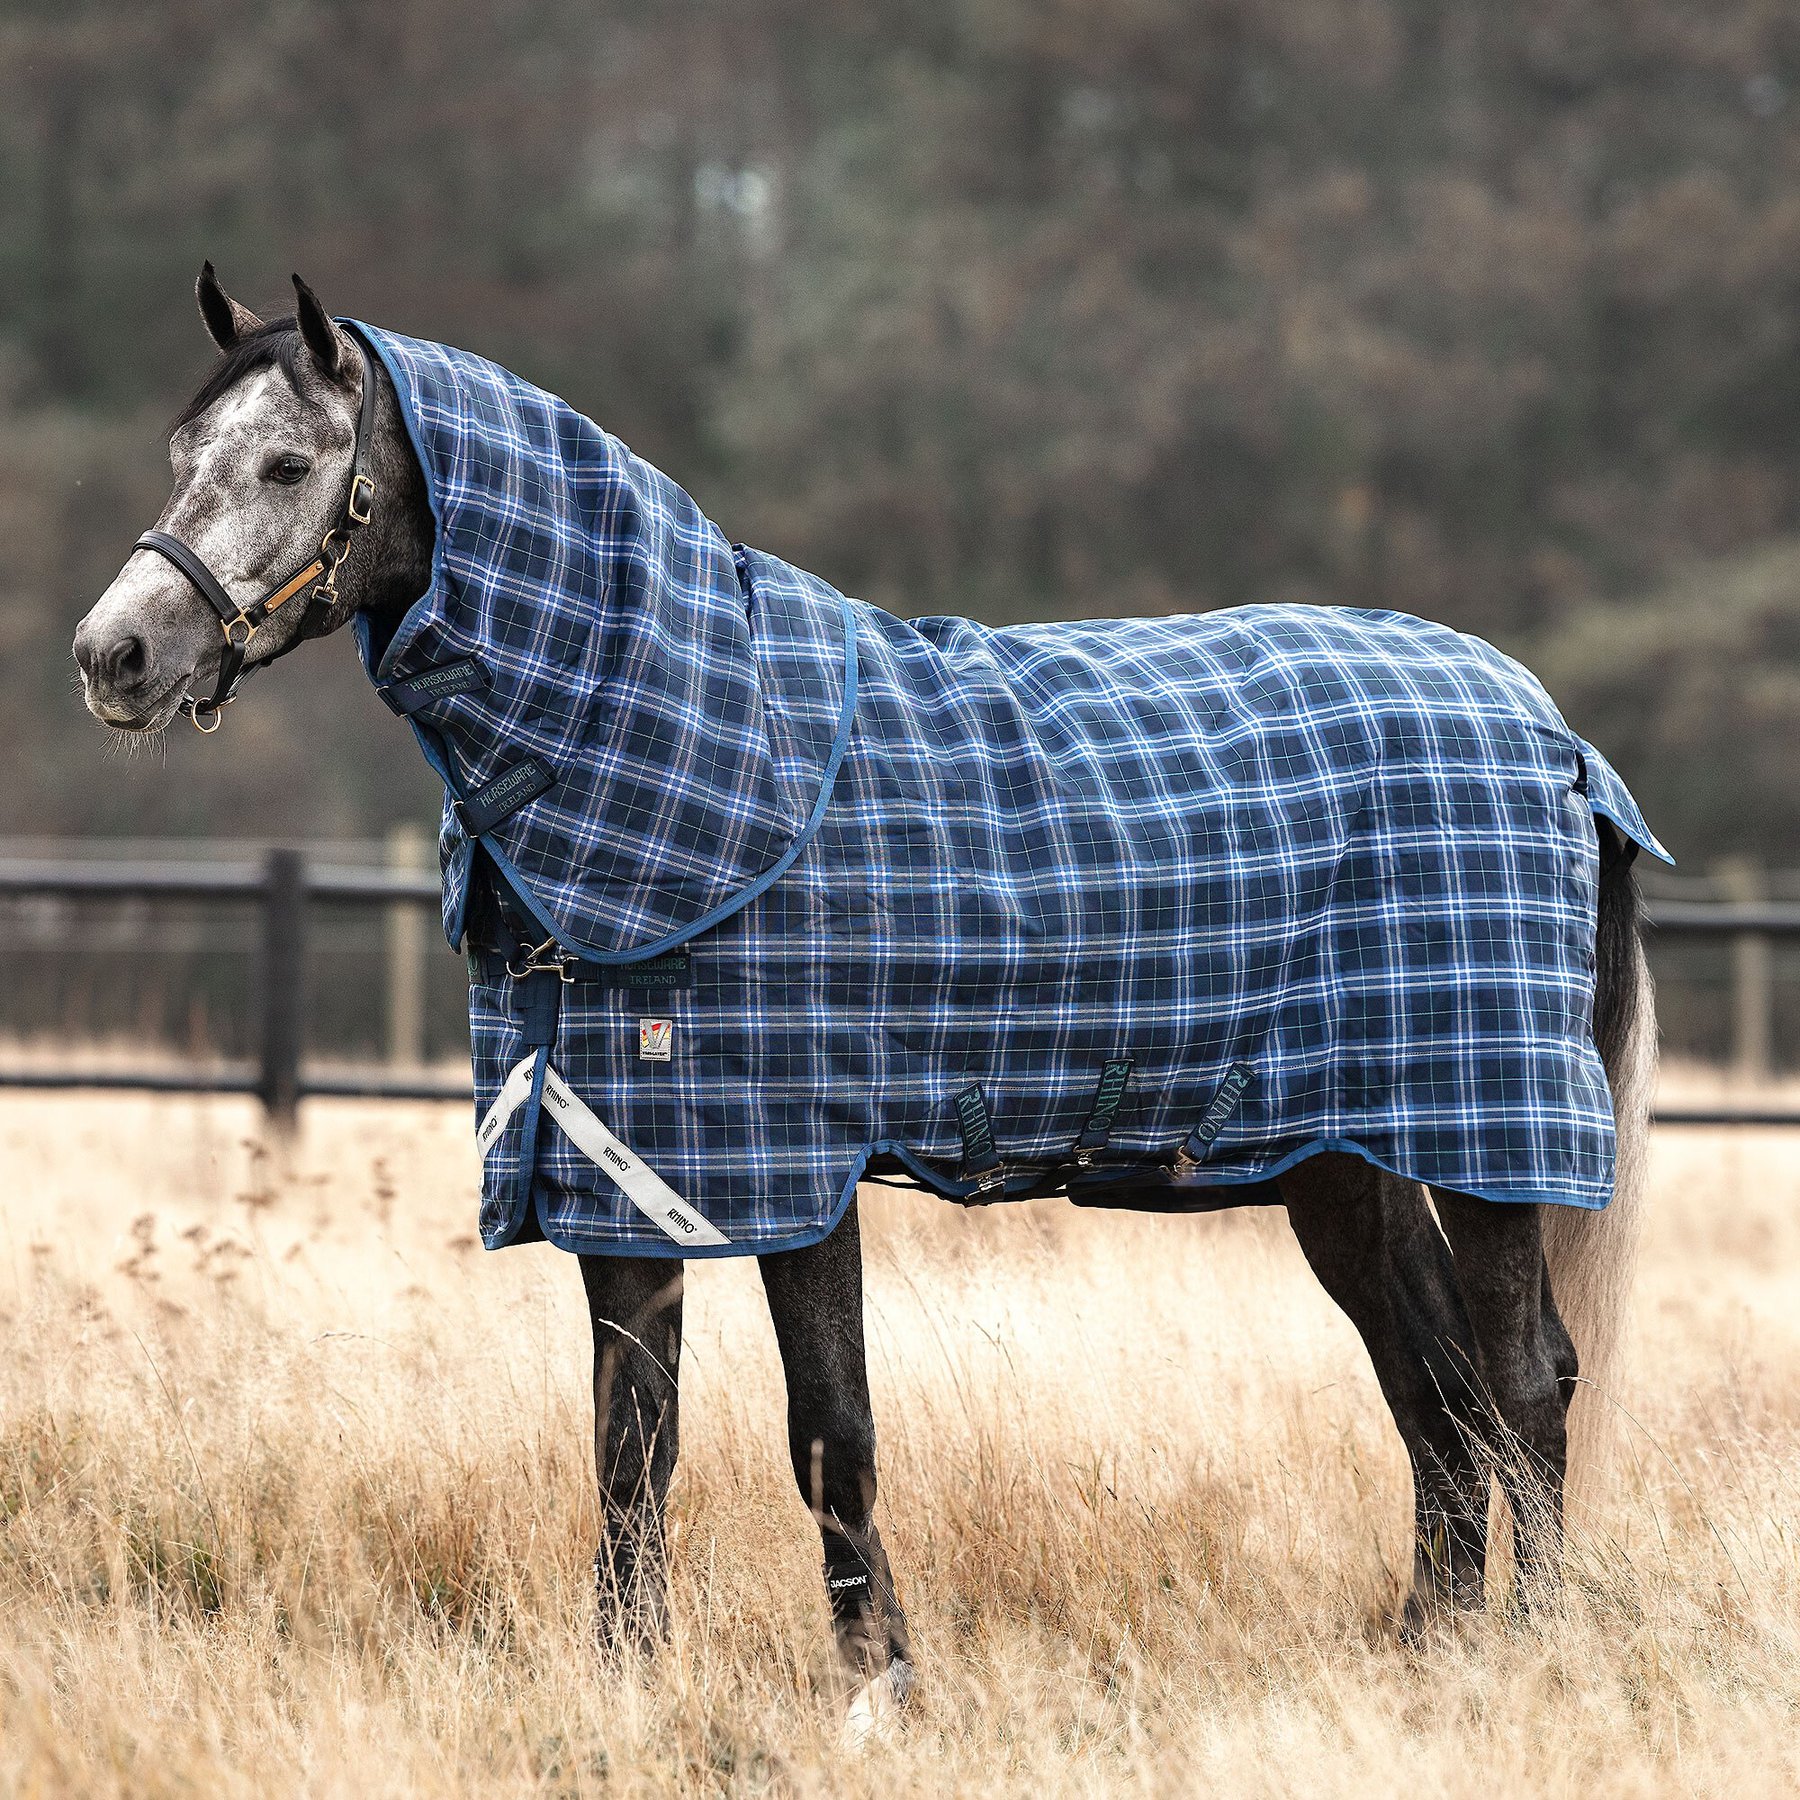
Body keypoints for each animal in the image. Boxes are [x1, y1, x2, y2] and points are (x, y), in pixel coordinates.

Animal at [72, 267, 1658, 1719]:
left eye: (289, 466)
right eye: (181, 453)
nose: (115, 656)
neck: (696, 751)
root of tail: (1553, 737)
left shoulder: (797, 1172)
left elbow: (829, 1433)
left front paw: (878, 1683)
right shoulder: (621, 1169)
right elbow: (630, 1446)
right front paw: (627, 1682)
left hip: (1489, 1134)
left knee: (1524, 1382)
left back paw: (1529, 1655)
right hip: (1351, 1162)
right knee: (1439, 1399)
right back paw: (1432, 1653)